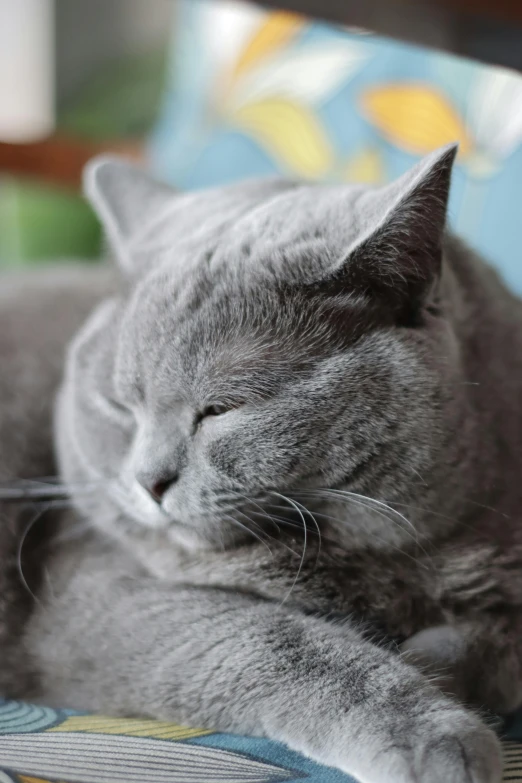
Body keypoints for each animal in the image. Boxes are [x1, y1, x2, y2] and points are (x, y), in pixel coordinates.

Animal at [2, 142, 516, 783]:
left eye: (221, 409)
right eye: (119, 406)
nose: (148, 481)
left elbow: (494, 643)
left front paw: (431, 659)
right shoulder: (91, 594)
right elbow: (280, 642)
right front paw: (438, 736)